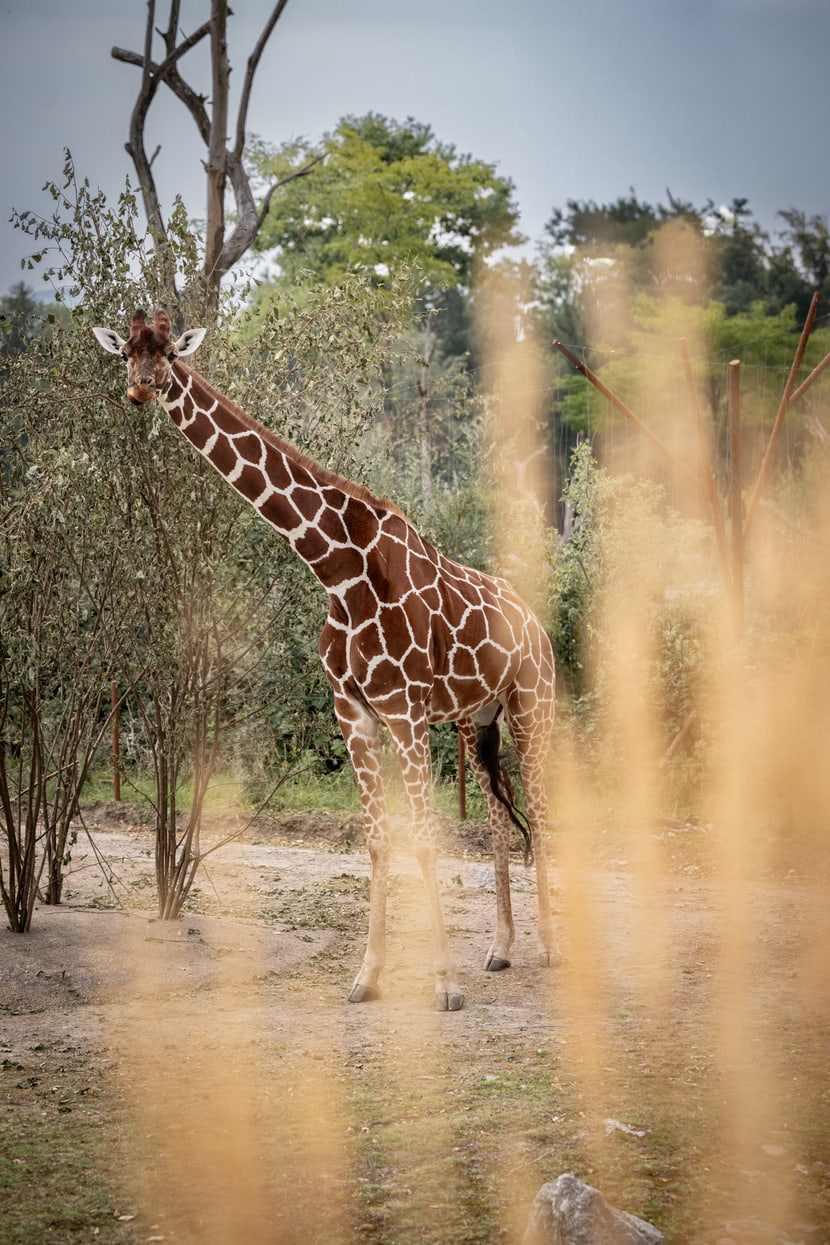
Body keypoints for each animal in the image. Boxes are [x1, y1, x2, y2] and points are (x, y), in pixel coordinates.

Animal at [93, 308, 557, 1011]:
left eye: (171, 353)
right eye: (125, 352)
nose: (141, 388)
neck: (336, 570)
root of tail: (536, 624)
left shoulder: (405, 710)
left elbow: (424, 835)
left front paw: (444, 987)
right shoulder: (356, 710)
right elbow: (377, 837)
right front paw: (367, 977)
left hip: (532, 704)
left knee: (548, 808)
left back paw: (556, 949)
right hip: (476, 721)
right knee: (503, 817)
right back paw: (500, 950)